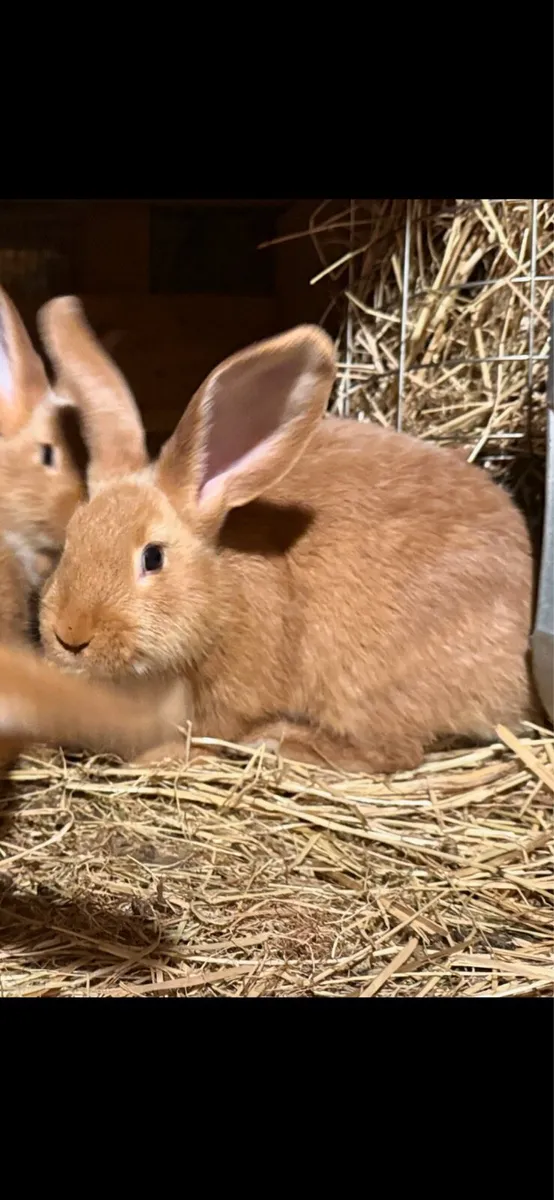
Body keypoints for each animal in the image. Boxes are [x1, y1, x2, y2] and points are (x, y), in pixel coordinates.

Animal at [37, 295, 538, 774]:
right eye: (71, 540)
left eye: (153, 557)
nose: (70, 635)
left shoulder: (232, 696)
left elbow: (208, 735)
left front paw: (155, 758)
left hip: (368, 687)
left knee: (394, 754)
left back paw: (282, 741)